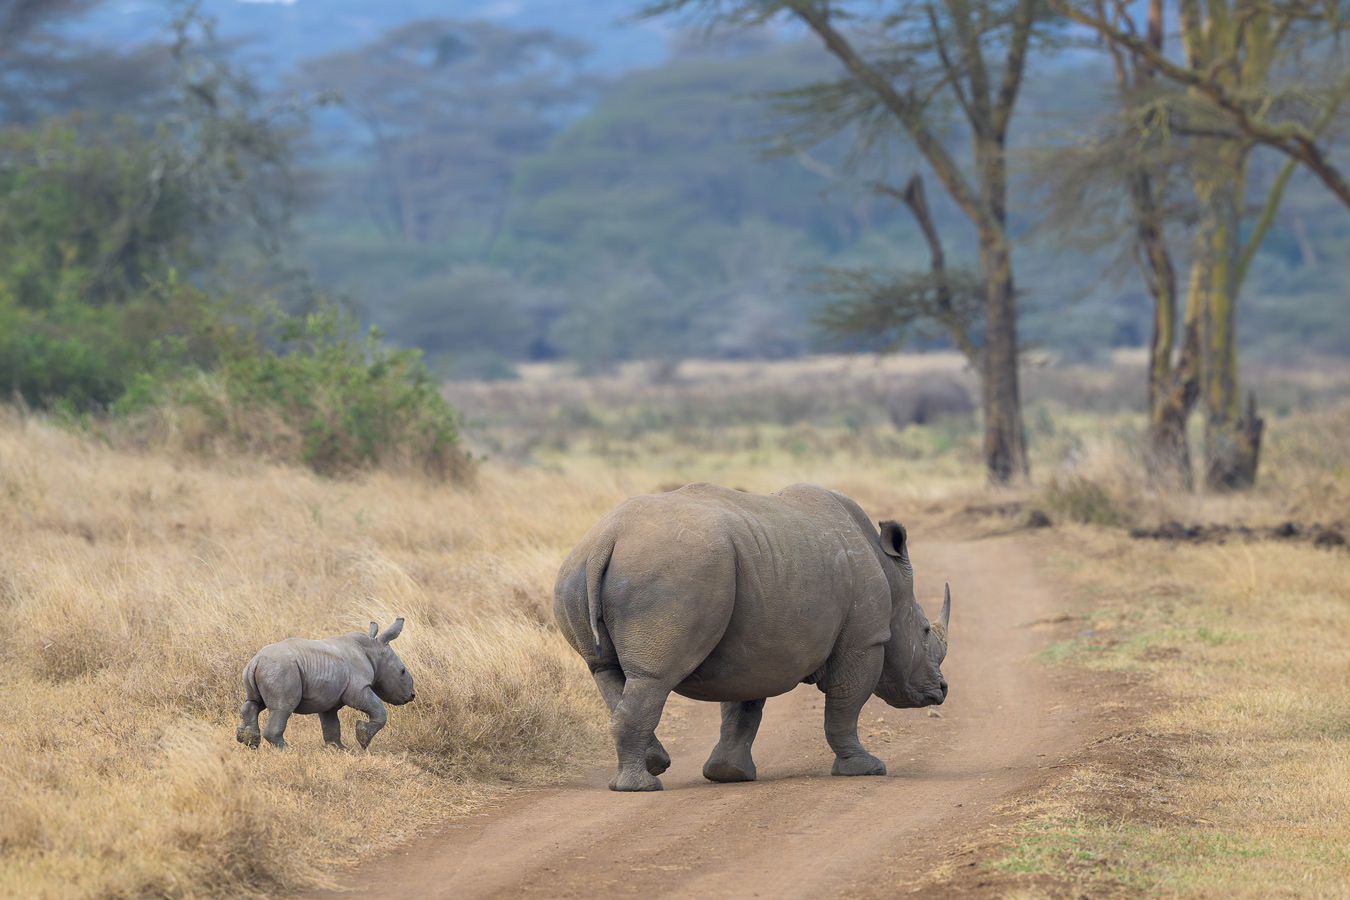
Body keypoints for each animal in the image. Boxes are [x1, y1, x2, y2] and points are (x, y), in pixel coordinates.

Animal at [236, 618, 415, 750]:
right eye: (402, 671)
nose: (412, 695)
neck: (373, 651)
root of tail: (256, 660)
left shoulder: (329, 697)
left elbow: (331, 723)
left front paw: (339, 749)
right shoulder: (358, 688)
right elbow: (379, 710)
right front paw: (363, 738)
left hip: (260, 669)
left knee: (254, 702)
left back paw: (248, 740)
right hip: (282, 670)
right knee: (282, 708)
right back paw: (286, 749)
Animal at [554, 482, 950, 792]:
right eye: (925, 631)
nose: (942, 690)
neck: (889, 573)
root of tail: (608, 538)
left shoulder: (755, 645)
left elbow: (742, 709)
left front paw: (728, 774)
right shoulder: (864, 641)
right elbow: (845, 708)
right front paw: (867, 769)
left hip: (579, 571)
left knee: (606, 671)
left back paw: (654, 765)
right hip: (670, 571)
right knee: (653, 678)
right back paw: (642, 787)